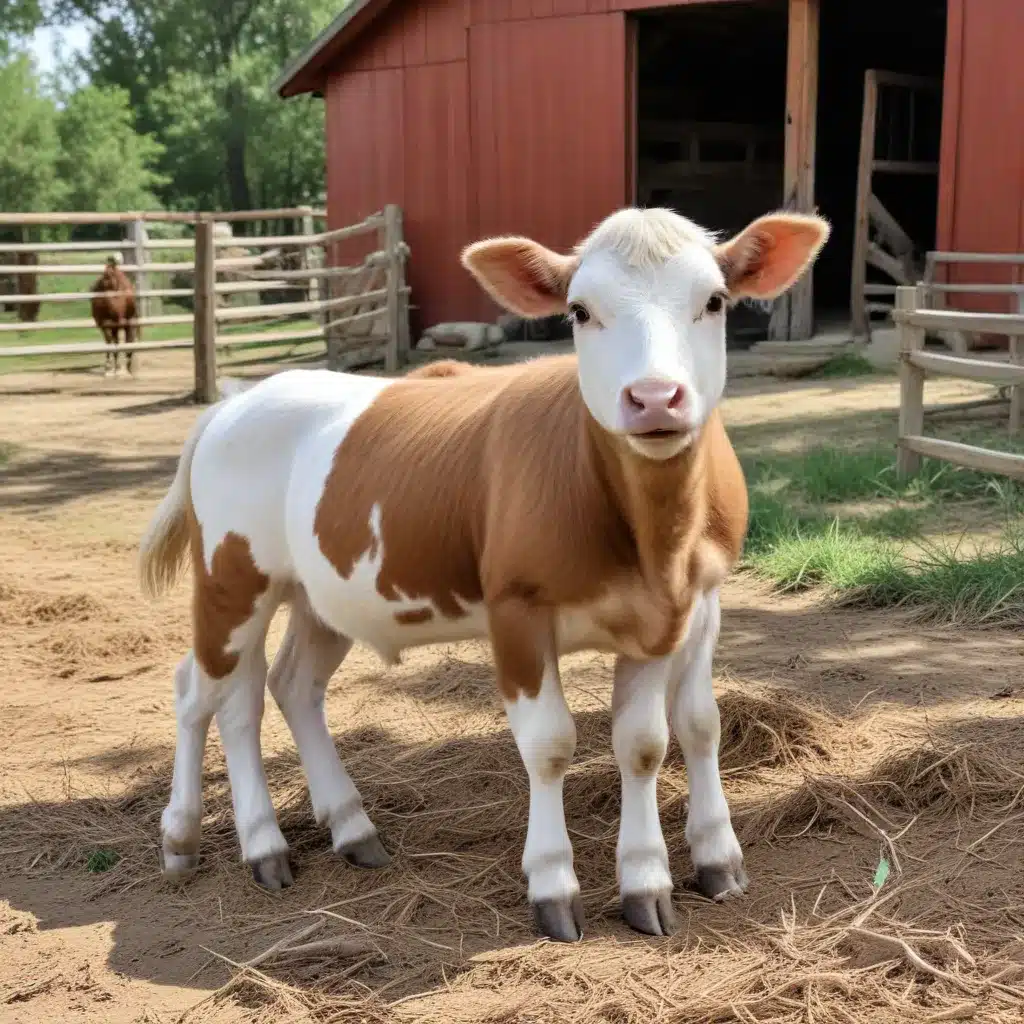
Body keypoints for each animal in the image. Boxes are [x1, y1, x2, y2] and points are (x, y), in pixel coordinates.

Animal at [140, 201, 827, 942]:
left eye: (715, 300)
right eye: (580, 310)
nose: (652, 398)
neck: (652, 542)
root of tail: (235, 401)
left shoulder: (685, 605)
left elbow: (664, 735)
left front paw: (670, 873)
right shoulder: (516, 609)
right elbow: (550, 744)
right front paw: (553, 885)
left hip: (319, 594)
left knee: (282, 687)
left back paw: (345, 829)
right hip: (231, 579)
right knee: (204, 693)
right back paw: (207, 839)